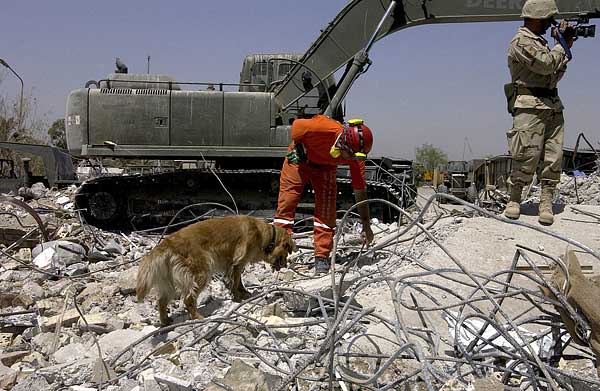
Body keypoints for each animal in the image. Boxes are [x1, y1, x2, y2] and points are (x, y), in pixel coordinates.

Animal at [136, 216, 296, 326]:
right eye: (286, 253)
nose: (286, 264)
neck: (264, 235)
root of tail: (168, 243)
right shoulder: (238, 262)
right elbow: (236, 282)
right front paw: (237, 297)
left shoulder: (236, 265)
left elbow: (239, 281)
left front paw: (243, 293)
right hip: (202, 272)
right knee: (188, 298)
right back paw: (198, 317)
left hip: (169, 280)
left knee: (162, 301)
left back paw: (165, 321)